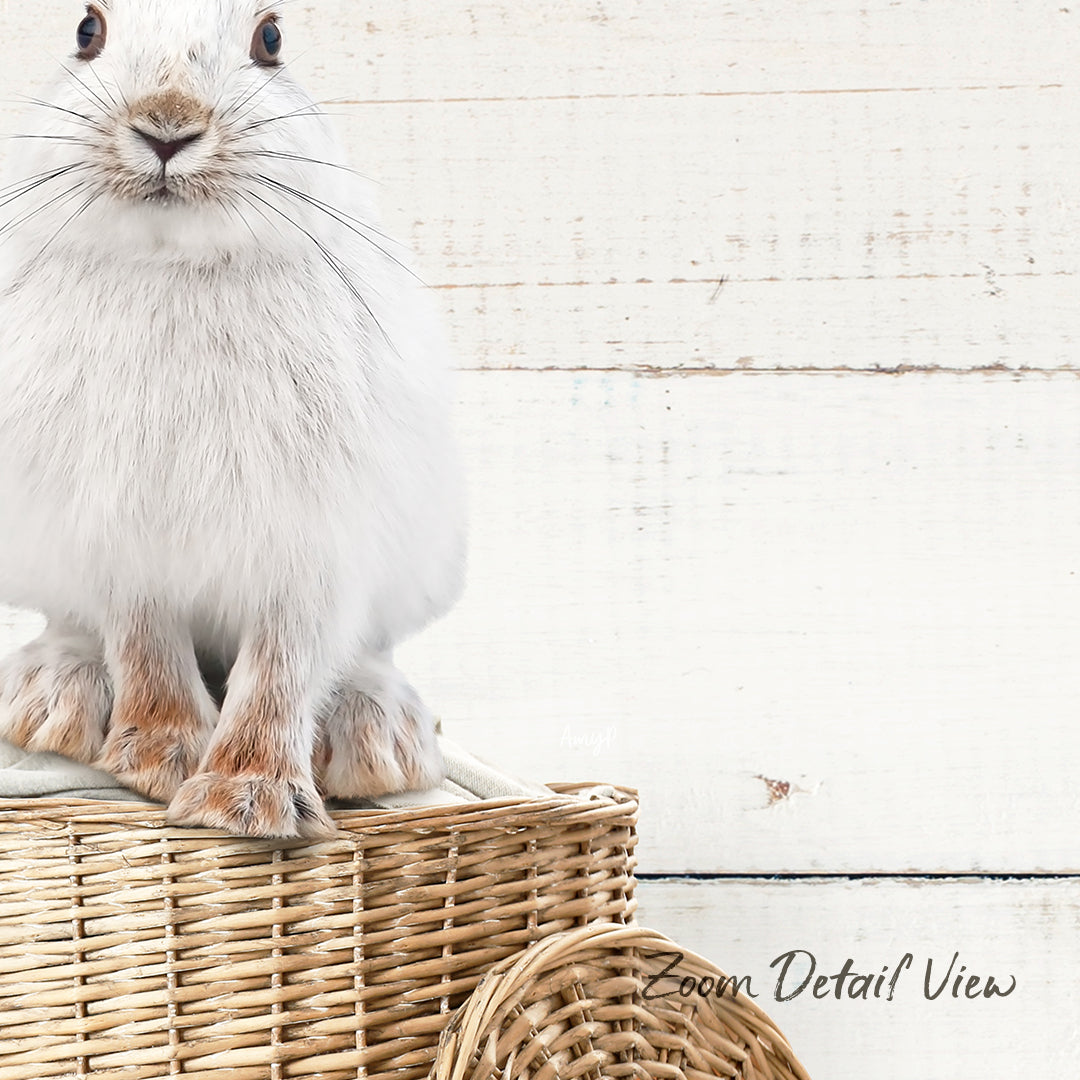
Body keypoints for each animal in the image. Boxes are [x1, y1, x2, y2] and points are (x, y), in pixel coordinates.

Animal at [0, 0, 466, 838]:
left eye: (271, 38)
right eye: (87, 31)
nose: (167, 126)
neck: (173, 264)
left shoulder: (314, 541)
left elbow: (281, 668)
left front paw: (244, 801)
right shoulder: (123, 531)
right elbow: (146, 642)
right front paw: (162, 762)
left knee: (369, 652)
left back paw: (379, 742)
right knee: (71, 624)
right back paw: (53, 701)